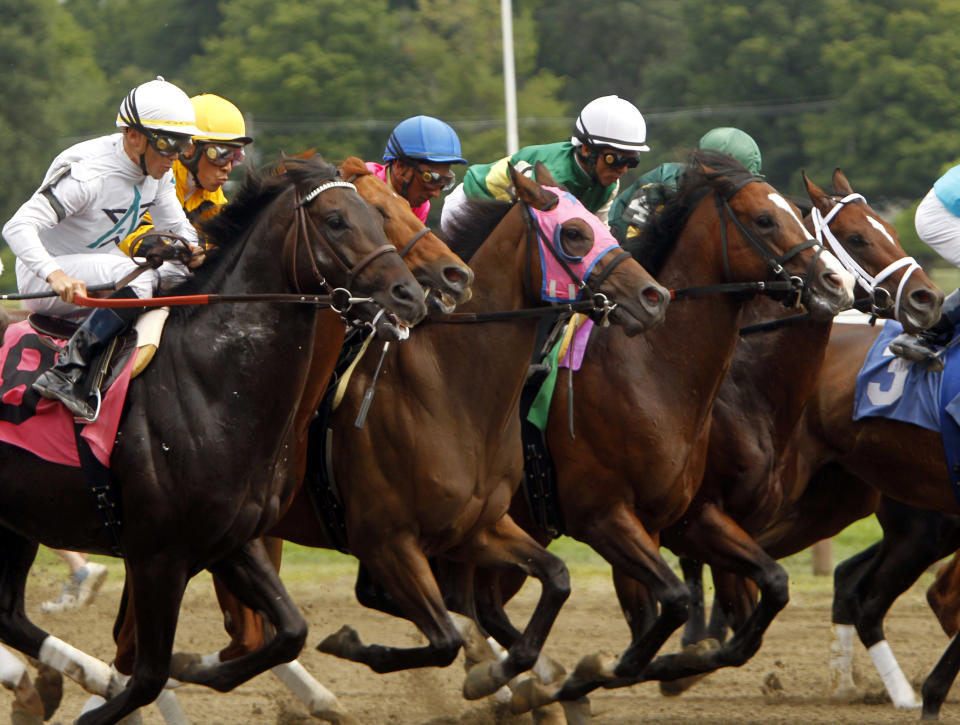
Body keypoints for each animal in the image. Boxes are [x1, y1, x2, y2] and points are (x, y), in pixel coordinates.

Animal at [0, 157, 428, 724]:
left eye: (377, 217)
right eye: (337, 220)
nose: (411, 296)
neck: (211, 382)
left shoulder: (230, 539)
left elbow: (289, 632)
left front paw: (196, 667)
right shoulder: (157, 556)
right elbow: (148, 675)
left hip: (16, 522)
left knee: (8, 615)